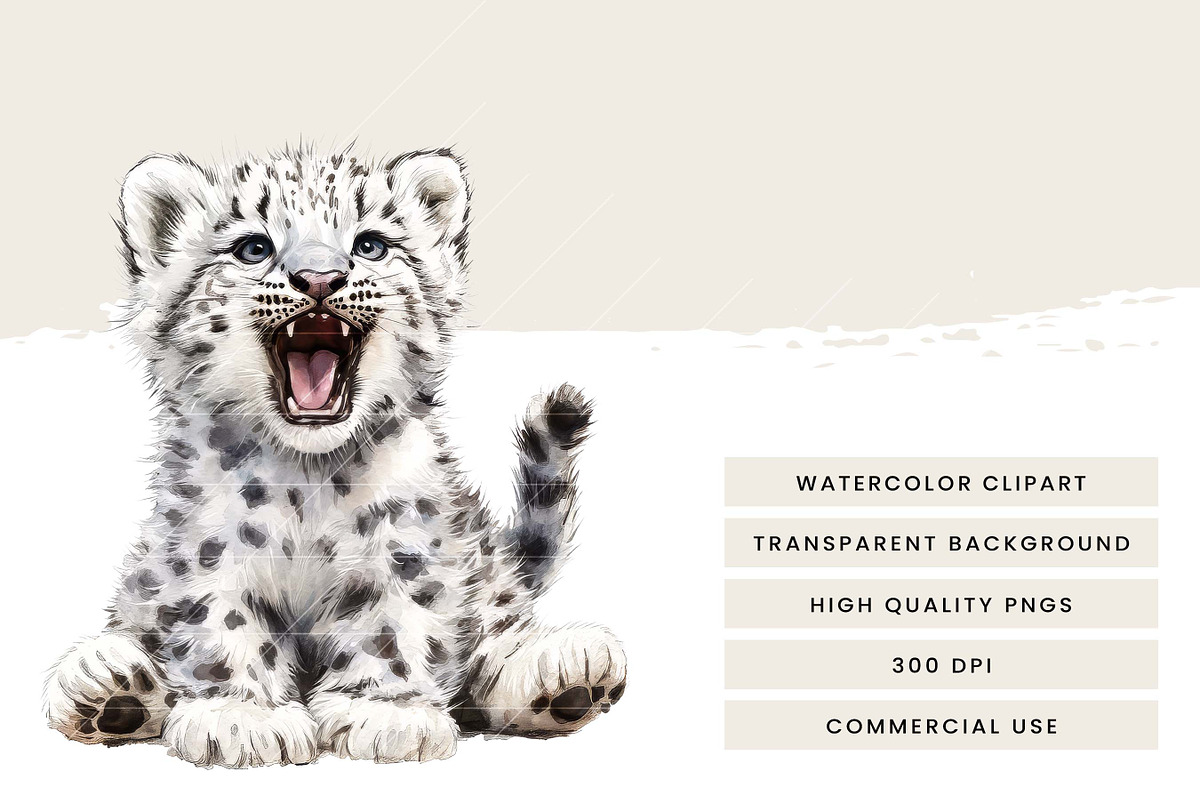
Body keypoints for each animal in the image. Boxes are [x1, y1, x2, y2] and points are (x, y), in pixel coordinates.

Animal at [42, 145, 626, 768]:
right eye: (253, 247)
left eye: (370, 244)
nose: (320, 278)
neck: (308, 479)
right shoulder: (207, 546)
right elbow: (221, 622)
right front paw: (245, 718)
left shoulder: (405, 542)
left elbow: (391, 624)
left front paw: (386, 714)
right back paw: (108, 687)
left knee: (498, 620)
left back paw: (567, 676)